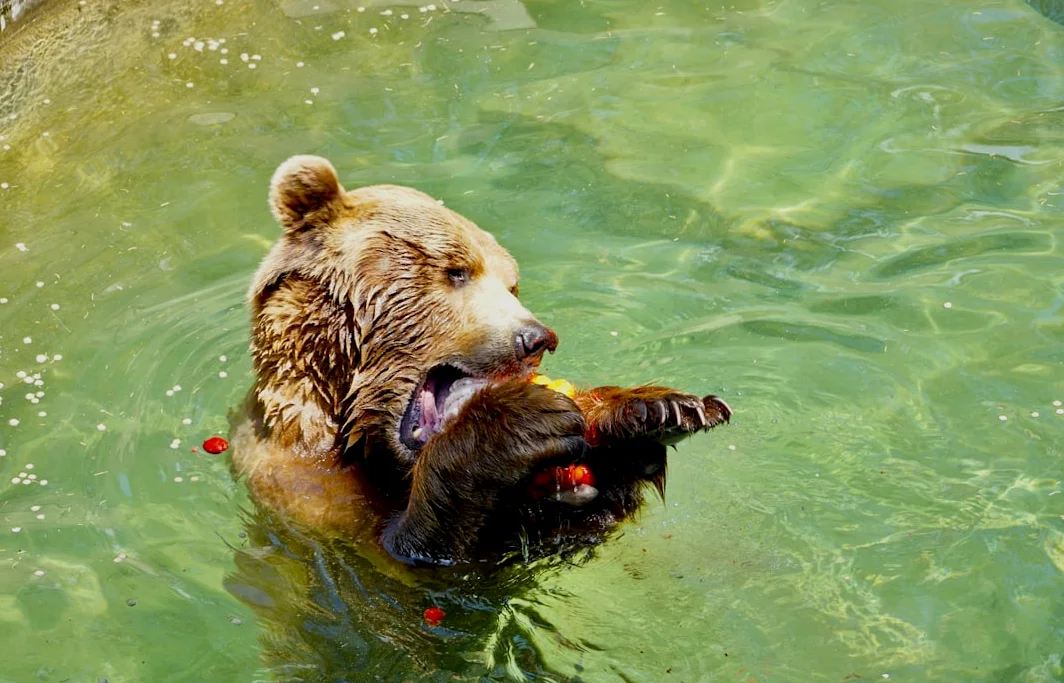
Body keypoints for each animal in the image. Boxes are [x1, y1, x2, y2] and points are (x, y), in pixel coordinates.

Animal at [229, 154, 731, 567]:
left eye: (512, 284)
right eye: (456, 270)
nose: (535, 337)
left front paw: (654, 411)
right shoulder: (305, 493)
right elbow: (404, 551)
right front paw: (513, 424)